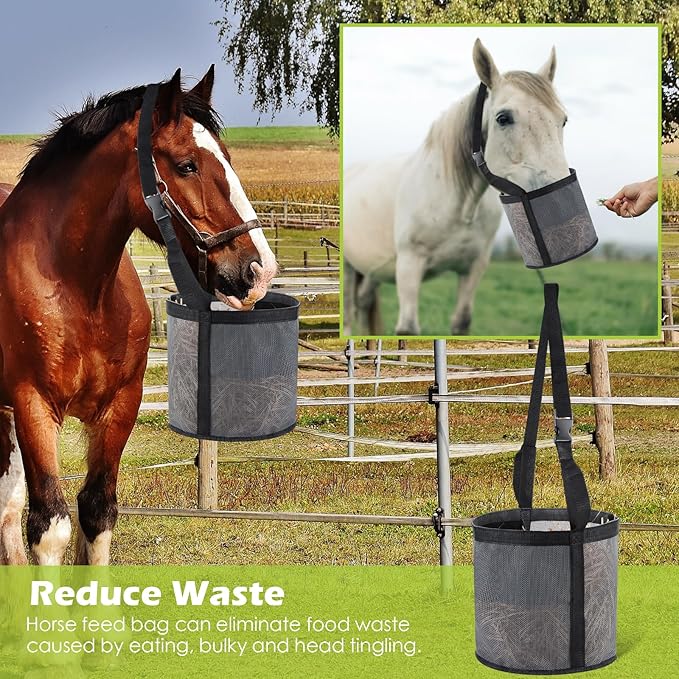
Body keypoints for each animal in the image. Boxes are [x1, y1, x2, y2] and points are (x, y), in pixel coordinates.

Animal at [0, 66, 277, 565]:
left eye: (227, 157)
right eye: (187, 165)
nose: (259, 270)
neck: (80, 291)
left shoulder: (120, 406)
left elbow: (97, 513)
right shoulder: (33, 406)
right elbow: (49, 527)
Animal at [343, 39, 571, 336]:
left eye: (562, 120)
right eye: (503, 118)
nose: (558, 202)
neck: (459, 205)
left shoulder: (472, 268)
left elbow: (461, 322)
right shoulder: (409, 266)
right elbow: (407, 329)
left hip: (373, 268)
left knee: (364, 303)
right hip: (350, 266)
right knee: (349, 311)